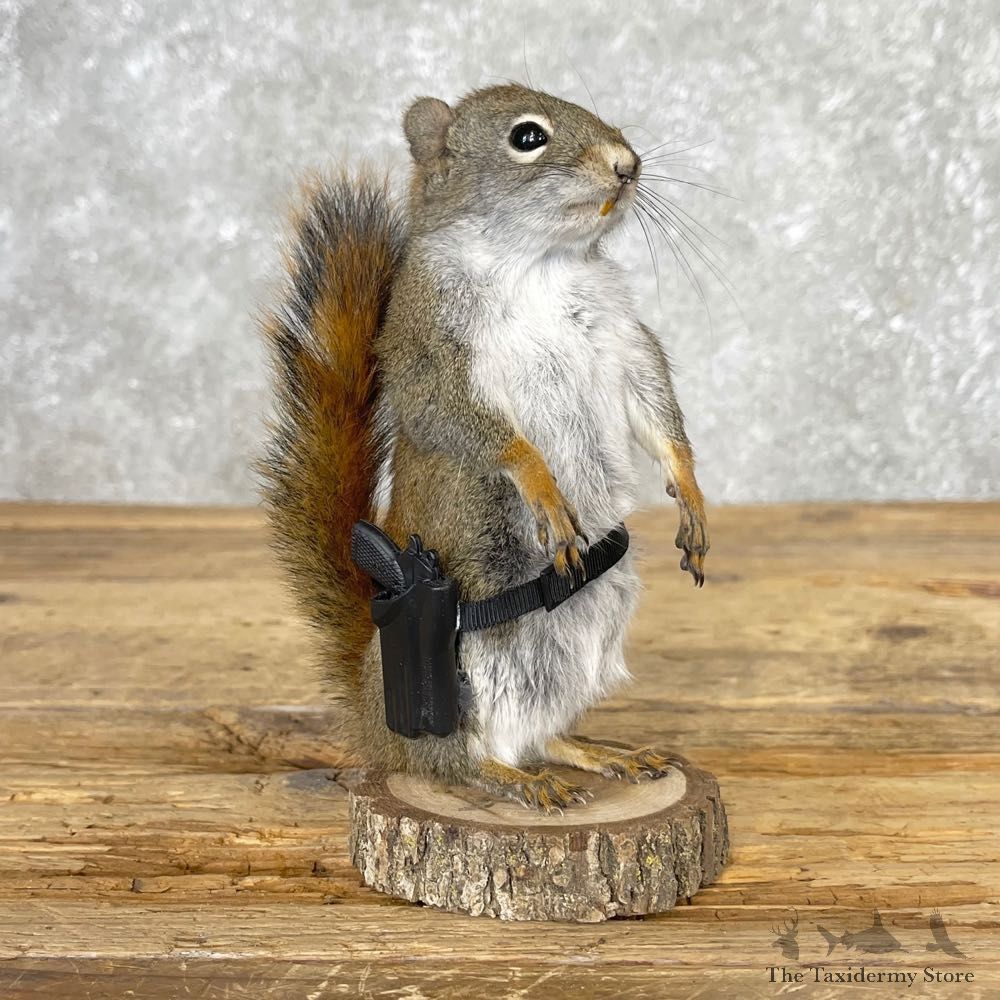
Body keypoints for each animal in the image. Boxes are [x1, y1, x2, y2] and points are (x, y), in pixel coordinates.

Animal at [260, 84, 709, 811]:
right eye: (527, 137)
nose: (627, 165)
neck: (538, 264)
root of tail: (378, 729)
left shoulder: (623, 336)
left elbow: (655, 404)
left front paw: (691, 494)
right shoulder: (427, 348)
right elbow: (458, 419)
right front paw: (543, 488)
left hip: (600, 615)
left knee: (540, 730)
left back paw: (592, 753)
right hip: (463, 663)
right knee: (461, 759)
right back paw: (509, 778)